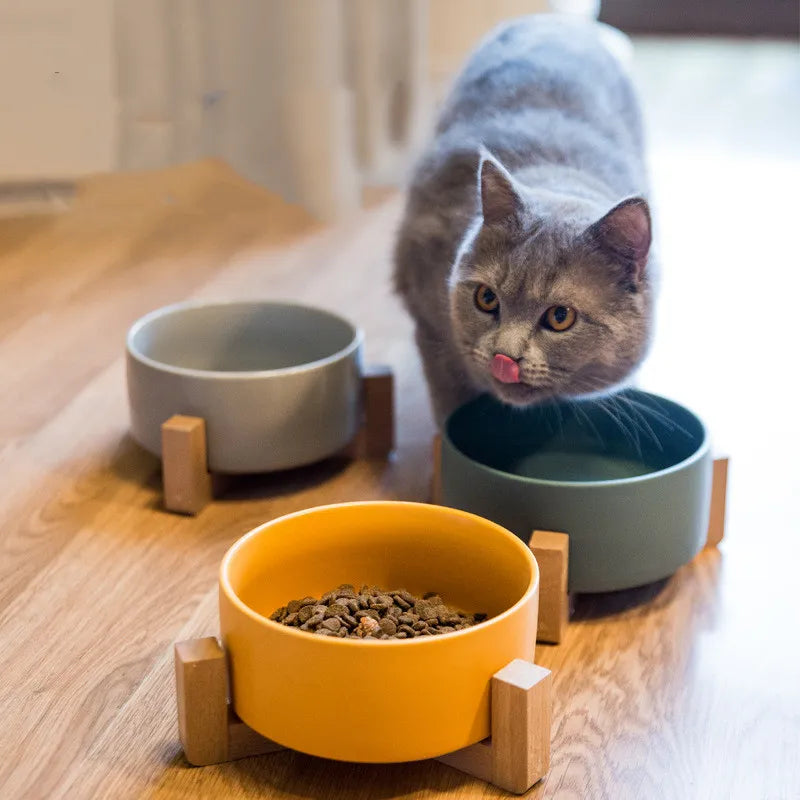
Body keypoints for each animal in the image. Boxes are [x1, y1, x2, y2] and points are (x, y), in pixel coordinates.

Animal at [396, 14, 656, 424]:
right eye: (486, 298)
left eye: (561, 316)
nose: (505, 357)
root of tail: (555, 17)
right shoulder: (428, 323)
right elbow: (447, 400)